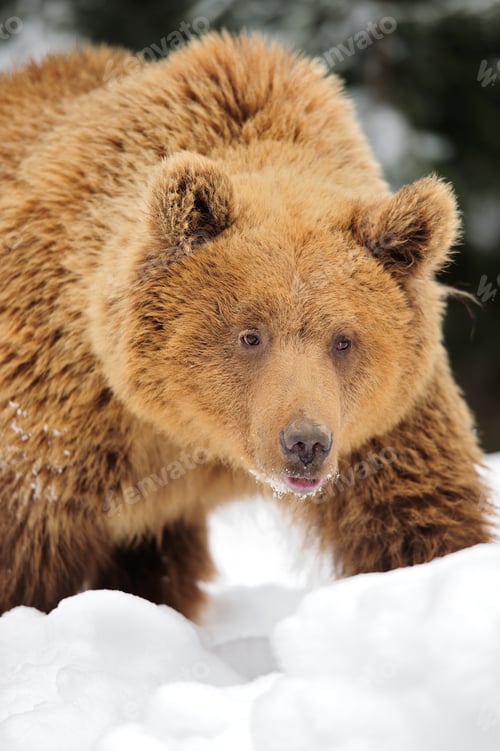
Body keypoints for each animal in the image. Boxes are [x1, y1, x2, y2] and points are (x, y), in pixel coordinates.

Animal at [0, 32, 493, 619]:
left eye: (344, 340)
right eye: (250, 334)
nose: (305, 442)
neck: (193, 433)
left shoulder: (381, 426)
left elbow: (419, 517)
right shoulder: (61, 409)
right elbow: (25, 543)